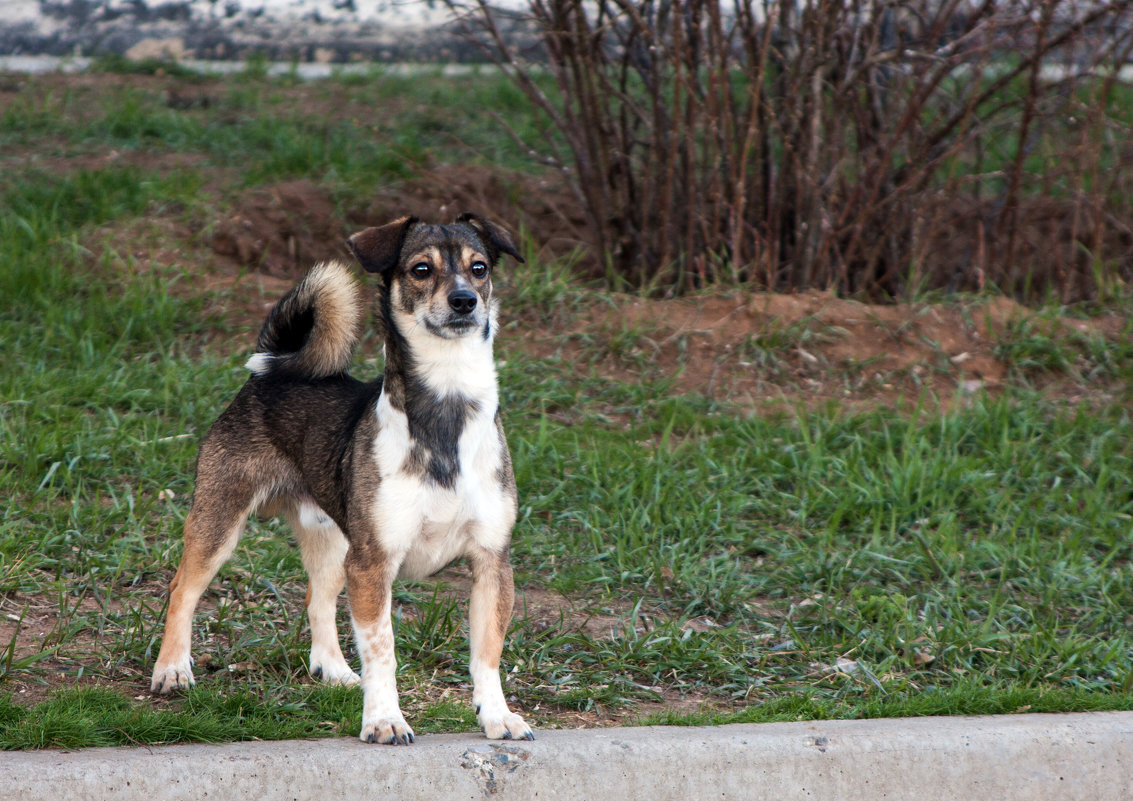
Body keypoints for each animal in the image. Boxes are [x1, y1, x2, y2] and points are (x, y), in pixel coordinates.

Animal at [150, 214, 534, 747]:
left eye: (479, 268)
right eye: (421, 269)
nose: (464, 301)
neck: (448, 409)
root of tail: (271, 370)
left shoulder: (492, 563)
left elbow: (487, 653)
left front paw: (497, 715)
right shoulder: (373, 564)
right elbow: (383, 650)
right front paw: (385, 720)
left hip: (333, 540)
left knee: (317, 600)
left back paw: (332, 669)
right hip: (220, 518)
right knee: (182, 589)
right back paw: (172, 669)